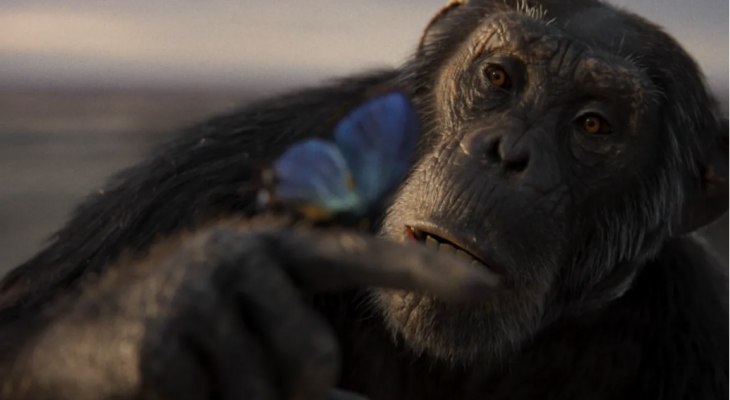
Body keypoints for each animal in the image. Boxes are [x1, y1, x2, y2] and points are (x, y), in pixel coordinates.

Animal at [1, 0, 728, 400]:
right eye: (499, 77)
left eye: (594, 125)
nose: (507, 155)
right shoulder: (205, 175)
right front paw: (165, 310)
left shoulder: (703, 320)